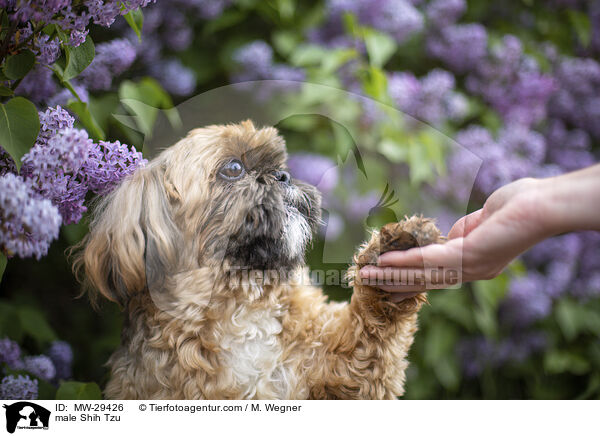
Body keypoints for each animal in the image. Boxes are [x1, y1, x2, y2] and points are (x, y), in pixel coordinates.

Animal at [74, 120, 440, 398]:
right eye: (234, 168)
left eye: (281, 168)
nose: (282, 176)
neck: (243, 304)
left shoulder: (343, 375)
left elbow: (369, 338)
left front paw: (393, 261)